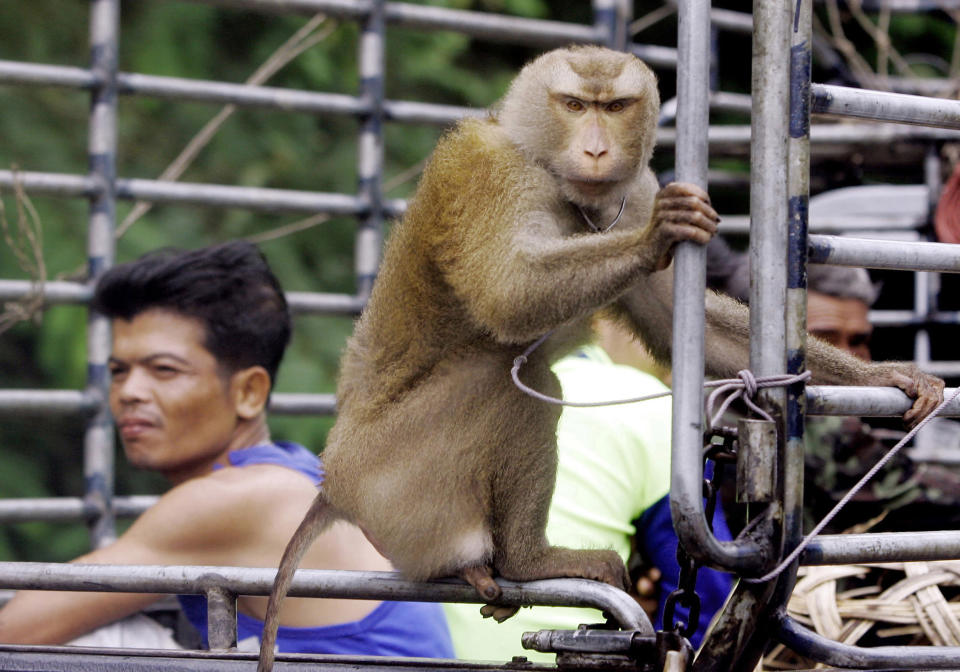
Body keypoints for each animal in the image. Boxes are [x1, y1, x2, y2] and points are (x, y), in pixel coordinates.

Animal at [255, 44, 944, 668]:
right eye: (574, 105)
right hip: (394, 481)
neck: (546, 165)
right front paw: (658, 235)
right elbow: (507, 293)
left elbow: (676, 321)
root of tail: (332, 483)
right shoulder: (489, 172)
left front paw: (890, 377)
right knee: (516, 381)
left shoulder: (633, 190)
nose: (594, 149)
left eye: (614, 107)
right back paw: (528, 560)